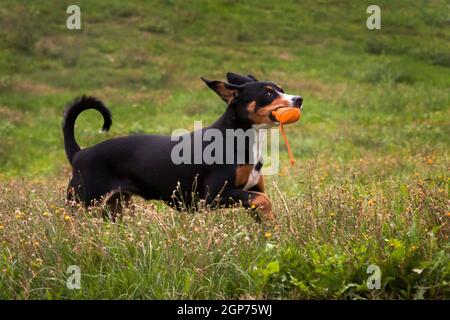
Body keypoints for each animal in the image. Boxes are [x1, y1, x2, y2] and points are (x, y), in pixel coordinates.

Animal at [63, 72, 302, 221]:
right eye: (268, 93)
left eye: (281, 89)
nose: (298, 99)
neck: (239, 138)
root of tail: (80, 153)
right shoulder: (214, 197)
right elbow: (264, 200)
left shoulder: (249, 192)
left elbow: (261, 205)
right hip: (82, 203)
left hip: (116, 207)